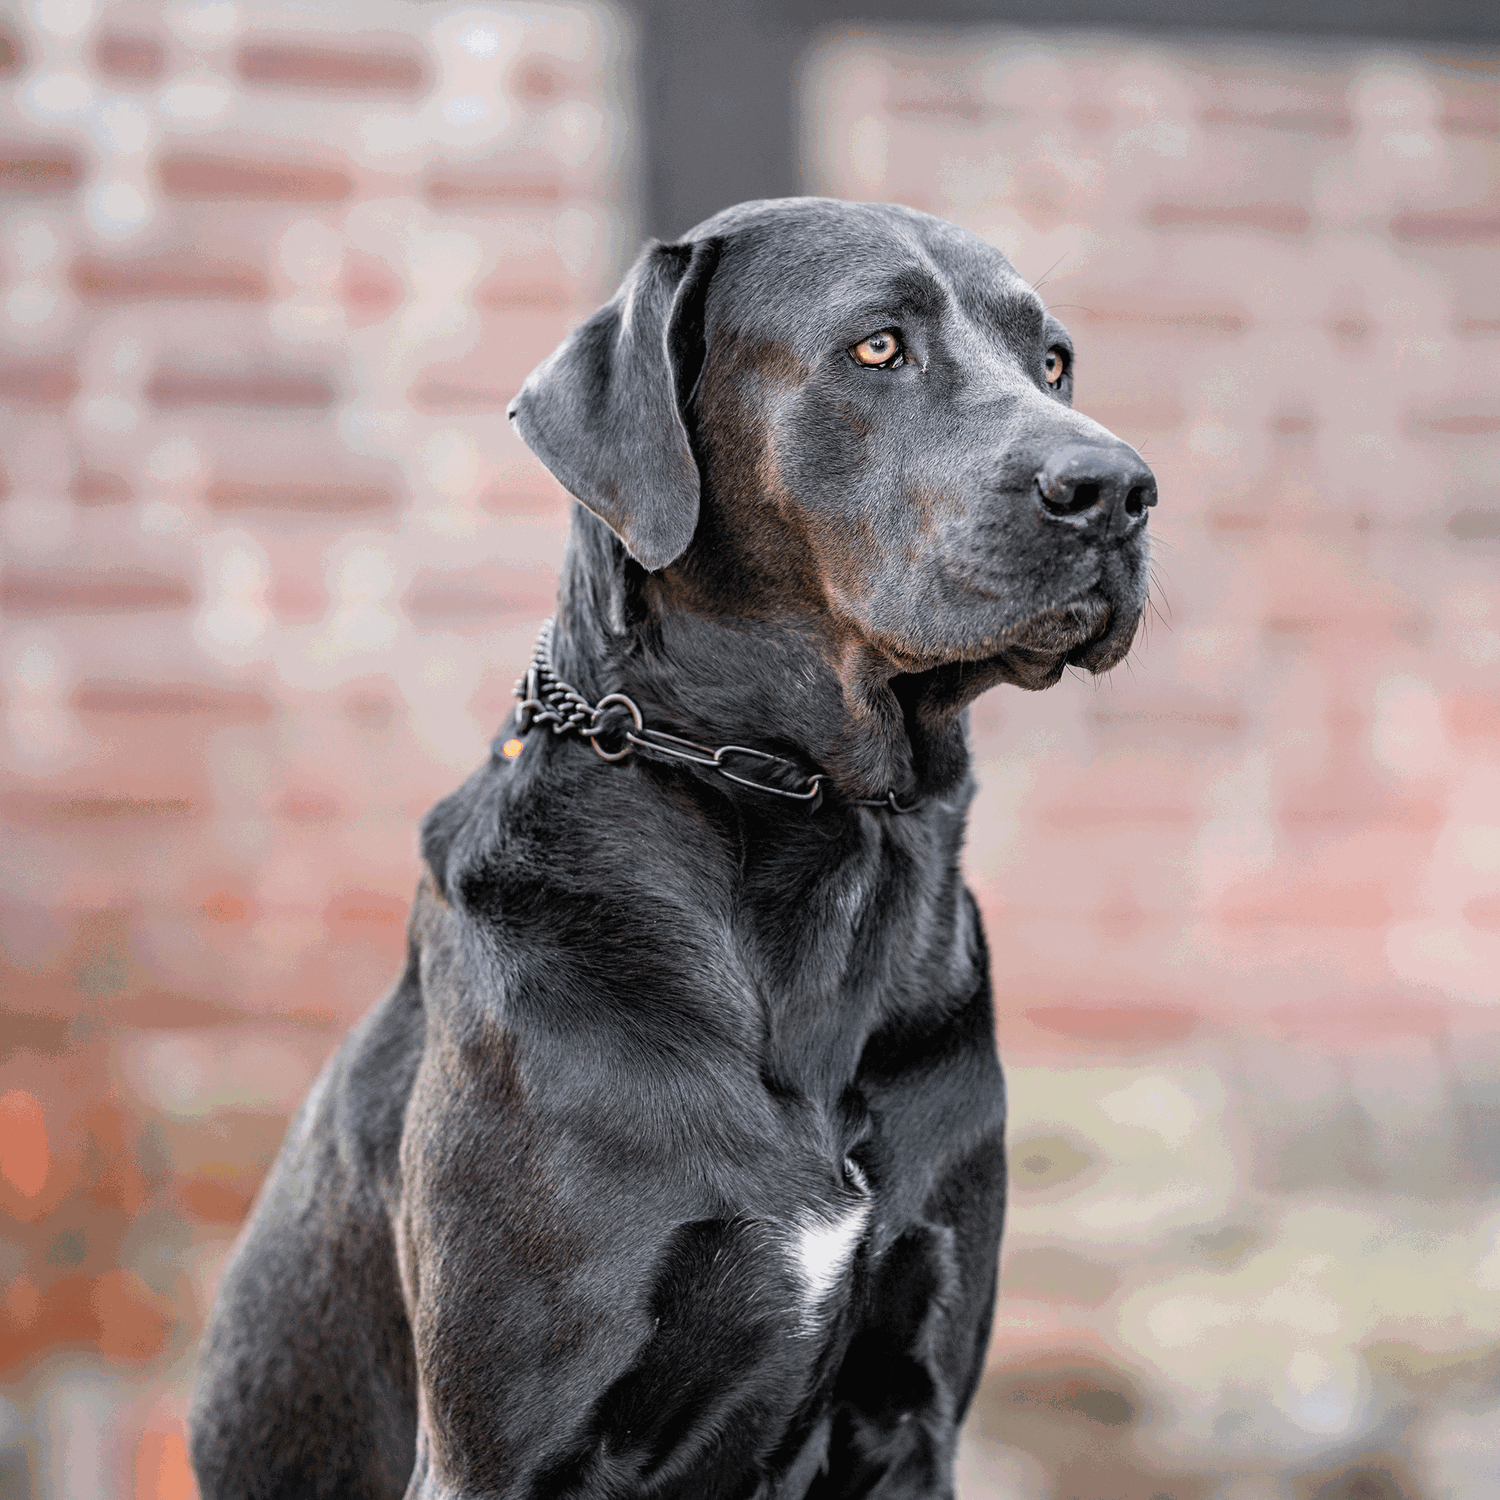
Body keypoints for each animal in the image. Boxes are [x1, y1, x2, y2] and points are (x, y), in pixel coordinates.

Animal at [184, 199, 1146, 1500]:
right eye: (878, 346)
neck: (819, 828)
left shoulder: (910, 1403)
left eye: (1053, 362)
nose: (1118, 489)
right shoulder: (500, 1443)